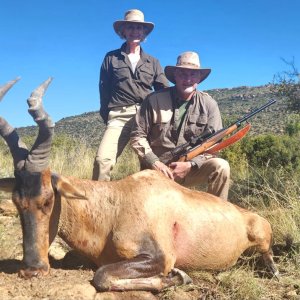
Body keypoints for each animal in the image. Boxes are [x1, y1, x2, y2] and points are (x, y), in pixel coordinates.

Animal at [0, 77, 278, 292]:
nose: (31, 270)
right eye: (16, 201)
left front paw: (179, 276)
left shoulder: (160, 256)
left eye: (48, 199)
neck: (116, 202)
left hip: (262, 239)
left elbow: (102, 276)